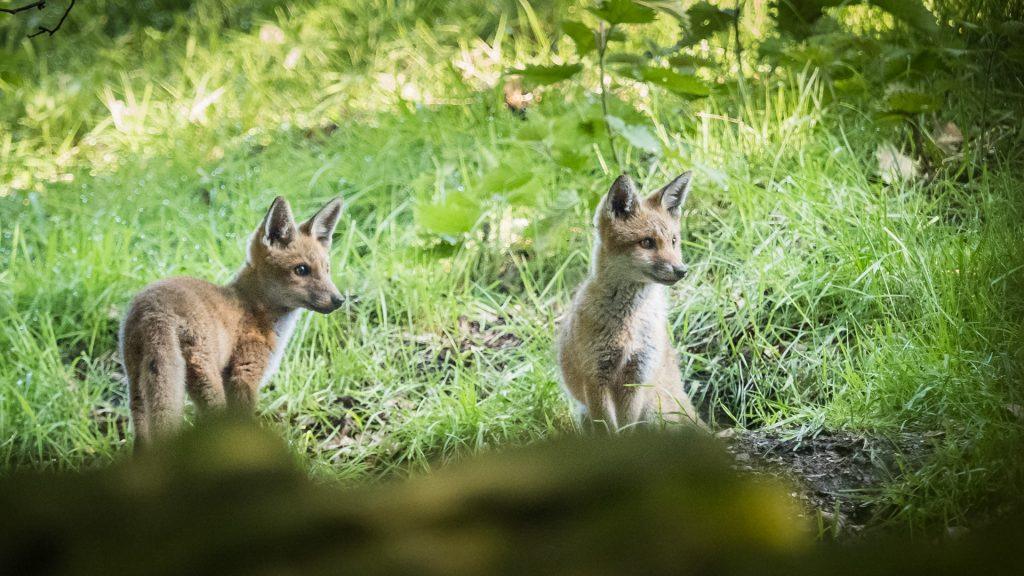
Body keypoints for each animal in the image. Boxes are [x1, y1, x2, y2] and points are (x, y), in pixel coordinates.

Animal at [119, 196, 345, 449]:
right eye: (302, 269)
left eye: (327, 270)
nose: (339, 300)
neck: (253, 307)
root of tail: (154, 311)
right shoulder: (243, 375)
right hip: (206, 380)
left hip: (137, 386)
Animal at [558, 172, 705, 431]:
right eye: (647, 242)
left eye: (674, 241)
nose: (682, 270)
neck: (628, 326)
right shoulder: (595, 378)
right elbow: (608, 429)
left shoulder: (637, 376)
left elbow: (627, 428)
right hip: (586, 413)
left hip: (655, 410)